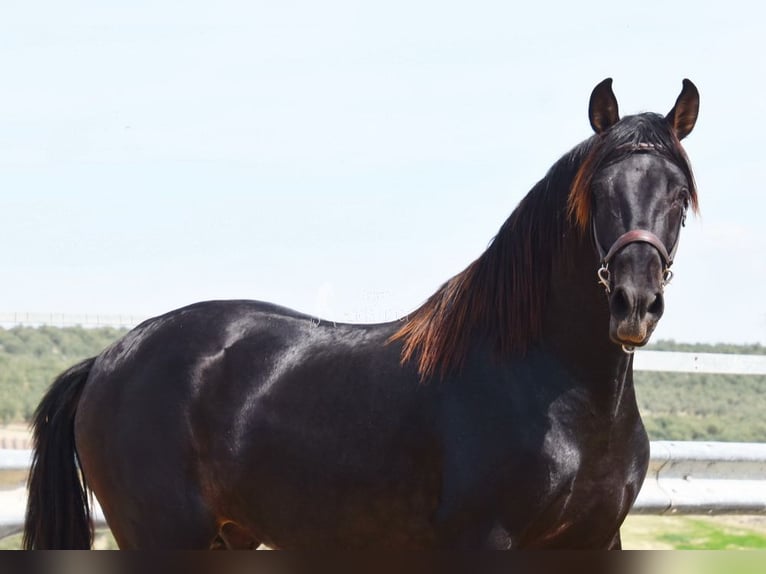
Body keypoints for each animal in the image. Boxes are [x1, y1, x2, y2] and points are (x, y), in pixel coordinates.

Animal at [24, 78, 699, 549]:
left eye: (678, 195)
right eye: (597, 192)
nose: (635, 304)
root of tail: (108, 359)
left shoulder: (596, 540)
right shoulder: (488, 541)